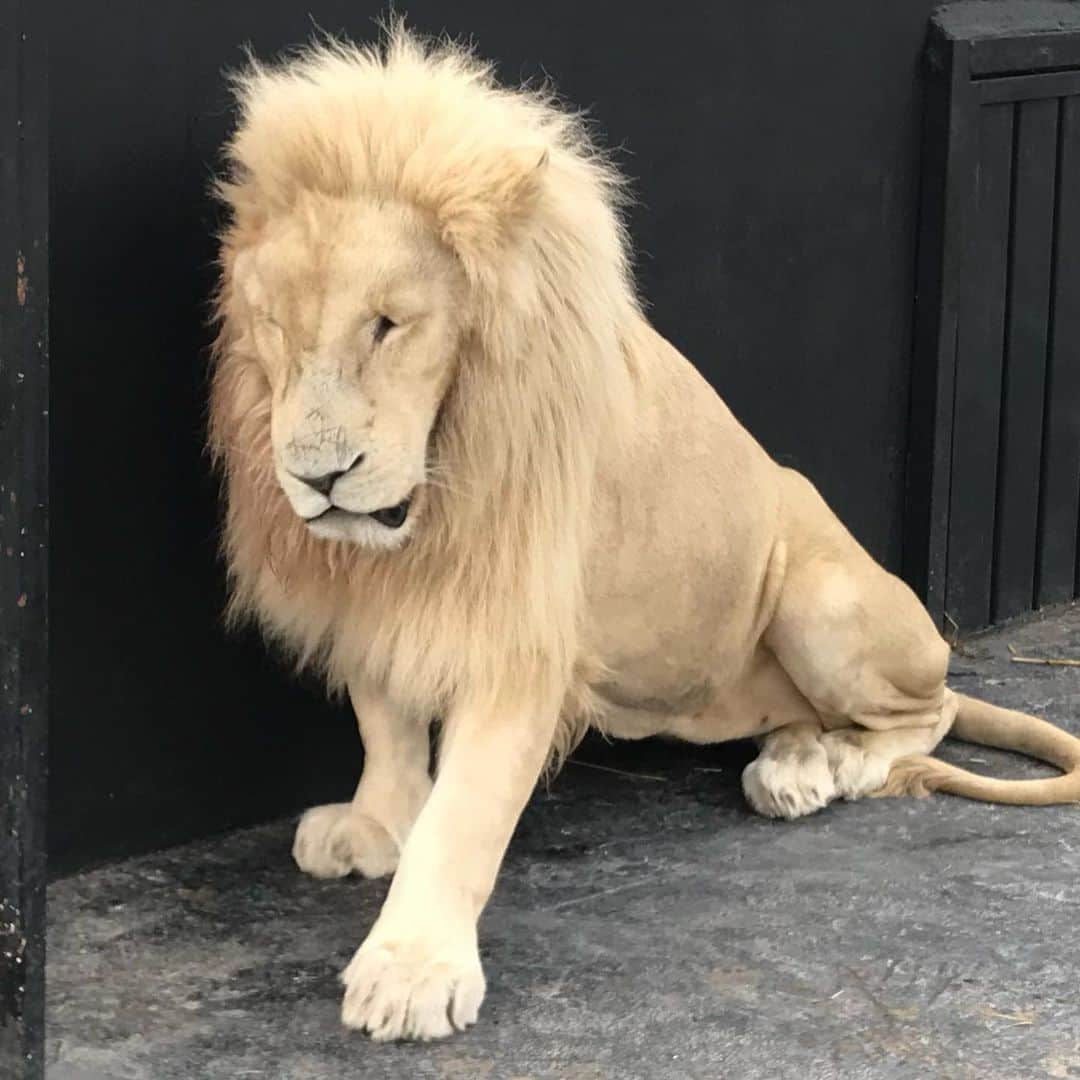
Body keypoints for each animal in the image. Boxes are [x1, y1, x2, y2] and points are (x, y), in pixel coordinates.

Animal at [206, 25, 1075, 1036]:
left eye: (388, 325)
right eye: (274, 328)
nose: (316, 477)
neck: (438, 490)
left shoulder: (521, 634)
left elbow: (467, 809)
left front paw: (412, 969)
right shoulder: (378, 596)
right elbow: (384, 722)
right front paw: (377, 823)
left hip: (823, 600)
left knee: (923, 714)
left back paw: (834, 768)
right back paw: (794, 761)